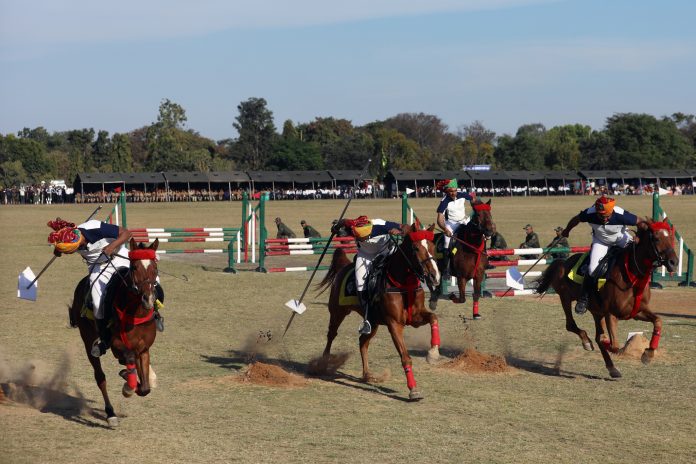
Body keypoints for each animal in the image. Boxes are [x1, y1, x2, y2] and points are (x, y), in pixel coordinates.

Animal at [68, 237, 160, 426]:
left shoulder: (144, 349)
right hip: (87, 338)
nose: (148, 299)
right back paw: (110, 412)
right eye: (134, 267)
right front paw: (127, 384)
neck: (135, 313)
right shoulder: (117, 344)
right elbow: (128, 360)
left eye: (155, 267)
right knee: (100, 377)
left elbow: (145, 387)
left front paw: (135, 380)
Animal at [316, 224, 440, 398]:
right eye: (416, 248)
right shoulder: (395, 324)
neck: (402, 283)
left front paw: (433, 353)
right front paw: (413, 389)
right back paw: (324, 364)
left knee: (363, 342)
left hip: (372, 322)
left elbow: (433, 317)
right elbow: (405, 357)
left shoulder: (415, 317)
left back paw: (367, 374)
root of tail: (344, 266)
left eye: (433, 247)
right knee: (331, 335)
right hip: (337, 312)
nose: (434, 277)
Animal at [536, 220, 676, 376]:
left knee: (595, 334)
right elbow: (614, 345)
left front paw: (648, 354)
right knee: (571, 324)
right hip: (566, 298)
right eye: (656, 239)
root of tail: (562, 263)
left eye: (672, 237)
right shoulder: (611, 314)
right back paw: (587, 342)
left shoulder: (637, 312)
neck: (631, 276)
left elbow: (658, 321)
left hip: (596, 312)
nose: (674, 262)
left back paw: (611, 367)